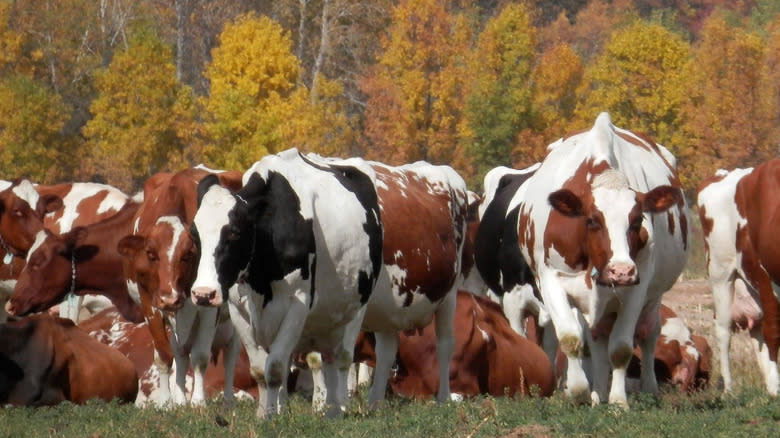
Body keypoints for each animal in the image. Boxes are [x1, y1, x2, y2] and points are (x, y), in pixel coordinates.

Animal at [189, 148, 384, 418]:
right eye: (194, 234)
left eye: (234, 233)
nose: (203, 294)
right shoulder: (239, 309)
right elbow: (260, 370)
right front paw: (265, 413)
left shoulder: (297, 304)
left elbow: (275, 367)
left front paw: (271, 416)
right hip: (325, 315)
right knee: (328, 358)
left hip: (356, 307)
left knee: (342, 358)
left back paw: (337, 407)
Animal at [512, 113, 688, 408]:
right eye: (592, 220)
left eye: (637, 219)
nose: (621, 271)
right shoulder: (551, 281)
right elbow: (572, 338)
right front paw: (578, 391)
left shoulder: (635, 289)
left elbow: (621, 348)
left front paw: (618, 401)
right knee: (594, 339)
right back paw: (597, 393)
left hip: (651, 297)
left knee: (648, 333)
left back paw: (644, 388)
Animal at [696, 163, 780, 396]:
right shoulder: (768, 278)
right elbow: (774, 333)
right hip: (720, 272)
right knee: (724, 330)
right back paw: (729, 390)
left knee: (757, 333)